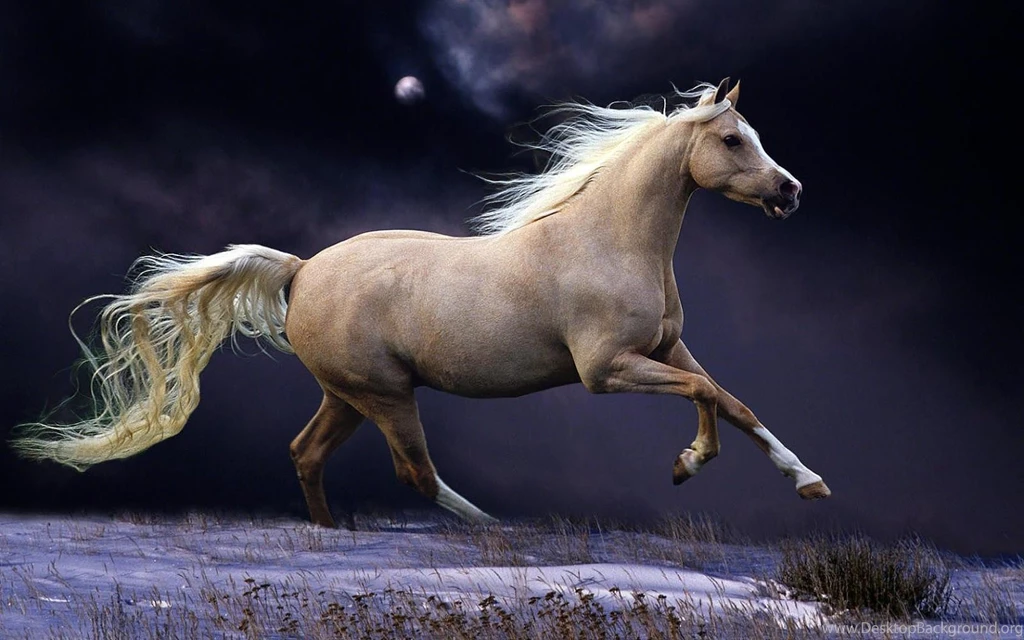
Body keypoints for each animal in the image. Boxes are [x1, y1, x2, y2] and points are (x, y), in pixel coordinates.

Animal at [12, 78, 830, 528]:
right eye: (732, 140)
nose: (791, 192)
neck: (610, 242)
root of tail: (301, 270)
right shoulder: (607, 370)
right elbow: (705, 397)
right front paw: (688, 464)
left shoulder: (665, 349)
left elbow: (732, 399)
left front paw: (809, 482)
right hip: (385, 394)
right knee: (415, 474)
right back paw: (501, 531)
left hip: (348, 394)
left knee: (306, 453)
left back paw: (334, 534)